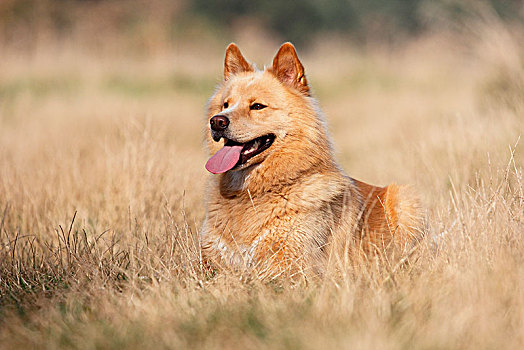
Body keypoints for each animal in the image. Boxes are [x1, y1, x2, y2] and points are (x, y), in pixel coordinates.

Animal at [199, 42, 424, 278]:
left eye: (258, 106)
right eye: (225, 105)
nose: (216, 122)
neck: (256, 191)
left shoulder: (293, 264)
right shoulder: (210, 260)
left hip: (406, 200)